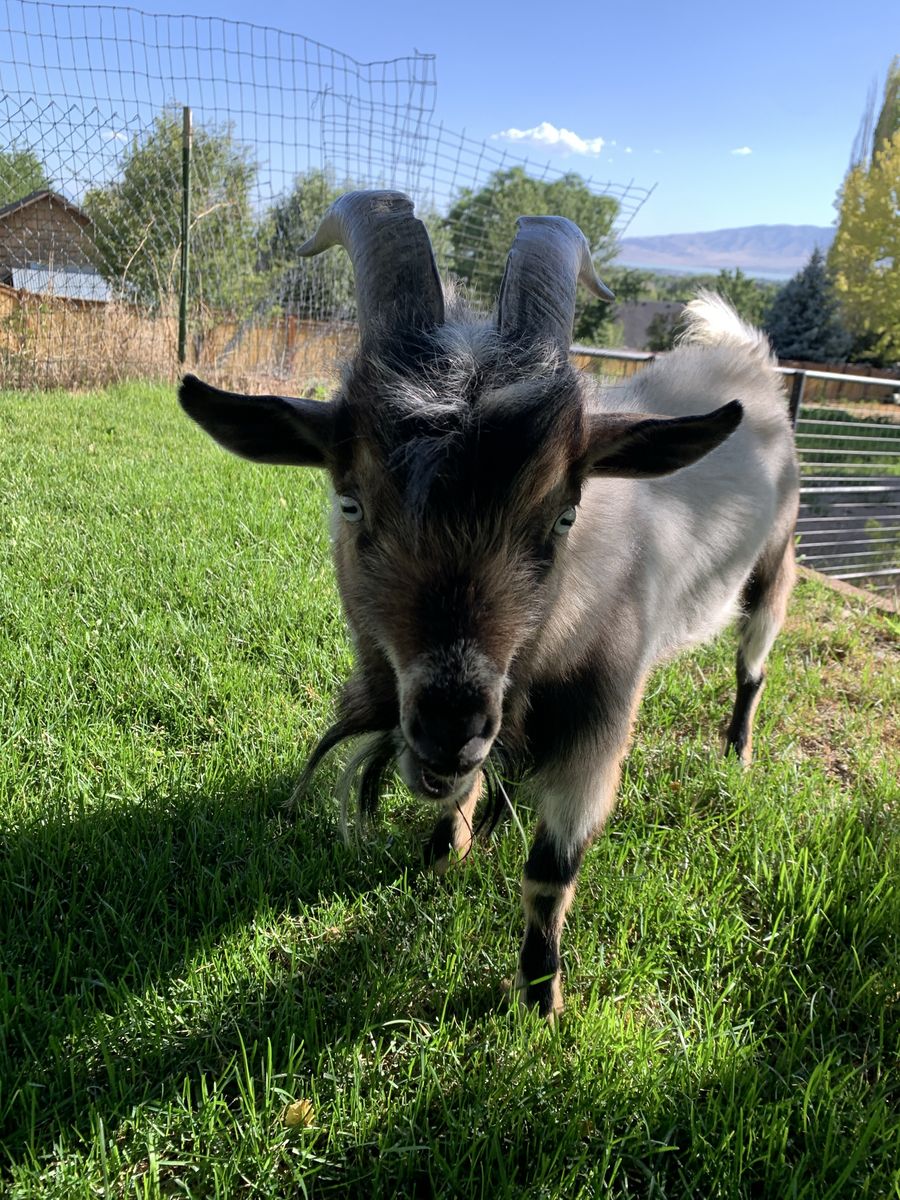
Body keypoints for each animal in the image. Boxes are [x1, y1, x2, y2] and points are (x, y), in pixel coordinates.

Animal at [179, 190, 799, 1018]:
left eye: (563, 516)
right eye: (350, 503)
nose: (449, 726)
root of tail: (746, 355)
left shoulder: (597, 728)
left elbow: (549, 875)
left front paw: (540, 998)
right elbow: (468, 795)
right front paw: (448, 850)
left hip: (777, 563)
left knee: (752, 665)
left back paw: (737, 750)